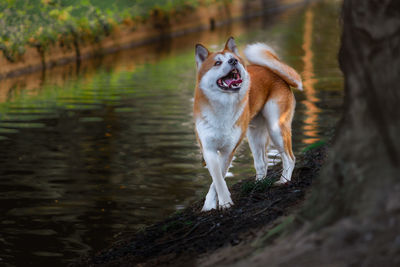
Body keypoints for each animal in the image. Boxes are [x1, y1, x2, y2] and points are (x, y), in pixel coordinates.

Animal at [192, 37, 302, 211]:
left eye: (232, 58)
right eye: (217, 63)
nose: (233, 61)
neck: (223, 105)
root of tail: (272, 71)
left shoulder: (229, 150)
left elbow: (219, 179)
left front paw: (224, 202)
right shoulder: (208, 149)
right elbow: (217, 178)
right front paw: (210, 205)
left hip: (276, 128)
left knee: (290, 158)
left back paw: (284, 180)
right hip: (254, 135)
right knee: (262, 164)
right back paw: (258, 184)